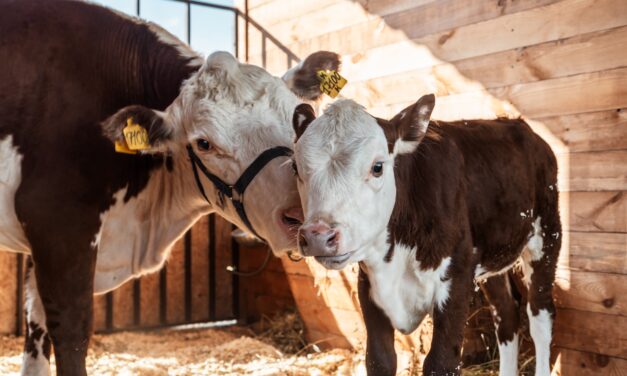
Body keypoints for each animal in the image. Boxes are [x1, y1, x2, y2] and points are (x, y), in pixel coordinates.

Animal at [0, 1, 340, 374]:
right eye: (204, 143)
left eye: (298, 118)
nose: (302, 216)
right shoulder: (57, 221)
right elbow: (71, 330)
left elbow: (36, 327)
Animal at [292, 95, 560, 374]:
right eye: (295, 168)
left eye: (377, 167)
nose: (318, 236)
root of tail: (519, 125)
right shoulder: (369, 286)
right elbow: (379, 359)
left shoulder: (457, 279)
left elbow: (441, 363)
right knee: (506, 314)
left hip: (547, 233)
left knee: (540, 315)